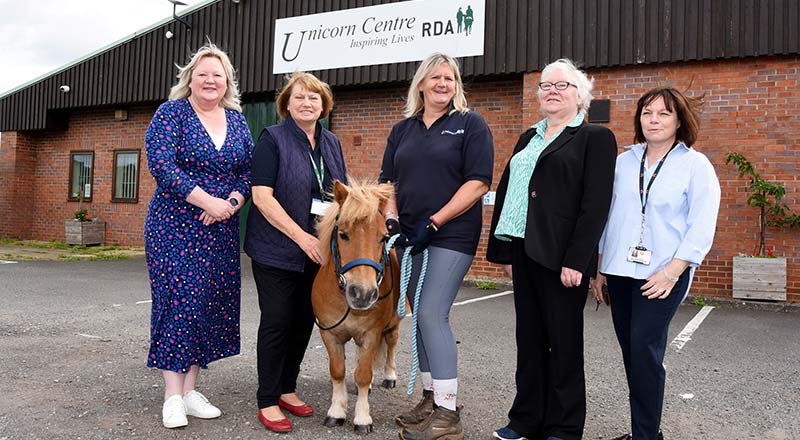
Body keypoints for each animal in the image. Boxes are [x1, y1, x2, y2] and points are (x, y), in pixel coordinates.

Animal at [310, 178, 404, 434]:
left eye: (383, 237)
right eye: (343, 234)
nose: (363, 294)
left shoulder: (372, 333)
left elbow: (363, 373)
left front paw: (362, 418)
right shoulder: (330, 334)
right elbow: (338, 371)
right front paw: (336, 411)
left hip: (393, 324)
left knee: (391, 344)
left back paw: (389, 376)